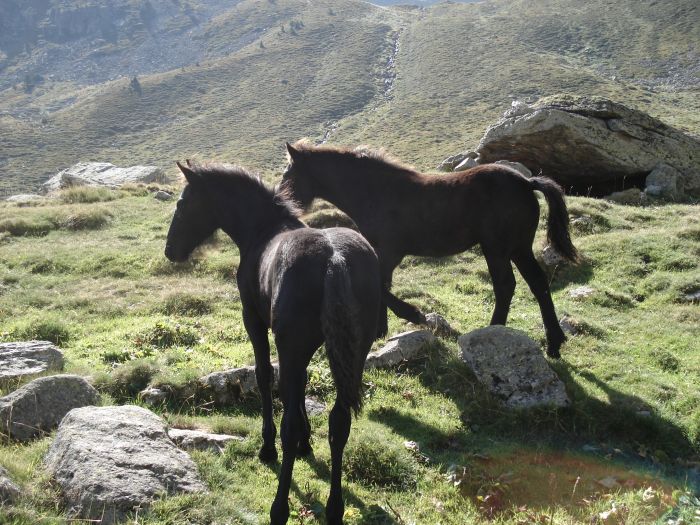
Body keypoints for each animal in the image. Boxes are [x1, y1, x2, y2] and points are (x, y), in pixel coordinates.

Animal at [165, 162, 380, 520]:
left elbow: (265, 376)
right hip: (354, 354)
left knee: (288, 426)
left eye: (182, 203)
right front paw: (308, 442)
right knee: (339, 423)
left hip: (292, 345)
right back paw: (334, 508)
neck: (264, 230)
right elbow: (301, 386)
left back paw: (279, 507)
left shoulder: (254, 321)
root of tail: (334, 259)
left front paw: (268, 447)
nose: (170, 250)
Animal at [280, 141, 580, 358]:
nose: (283, 203)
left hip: (497, 249)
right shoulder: (384, 253)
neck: (376, 191)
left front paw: (412, 315)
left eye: (288, 174)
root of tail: (527, 183)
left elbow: (381, 285)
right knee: (538, 283)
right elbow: (383, 285)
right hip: (519, 248)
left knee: (506, 285)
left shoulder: (389, 251)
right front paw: (381, 331)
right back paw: (555, 343)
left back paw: (494, 329)